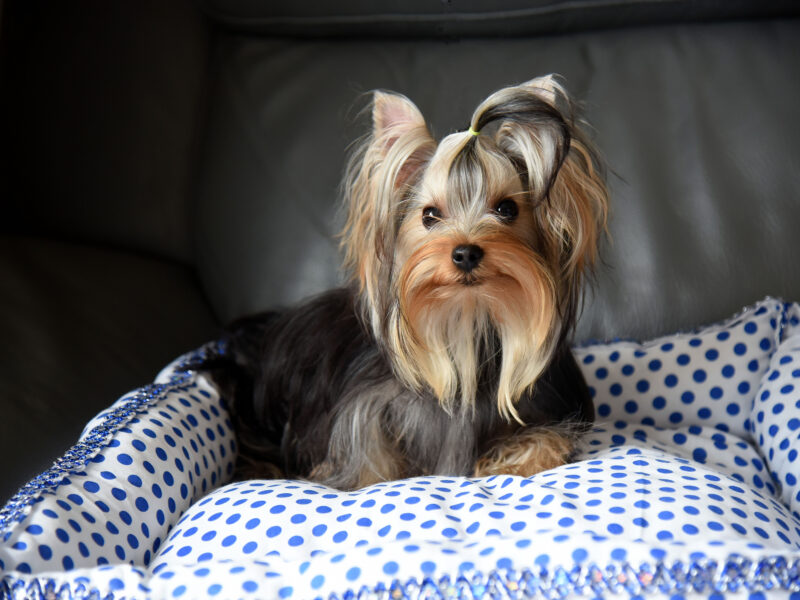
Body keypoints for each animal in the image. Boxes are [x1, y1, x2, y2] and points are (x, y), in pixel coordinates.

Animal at [202, 76, 609, 491]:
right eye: (429, 215)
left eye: (507, 209)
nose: (465, 253)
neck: (465, 318)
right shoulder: (364, 407)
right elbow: (366, 451)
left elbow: (544, 440)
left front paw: (507, 462)